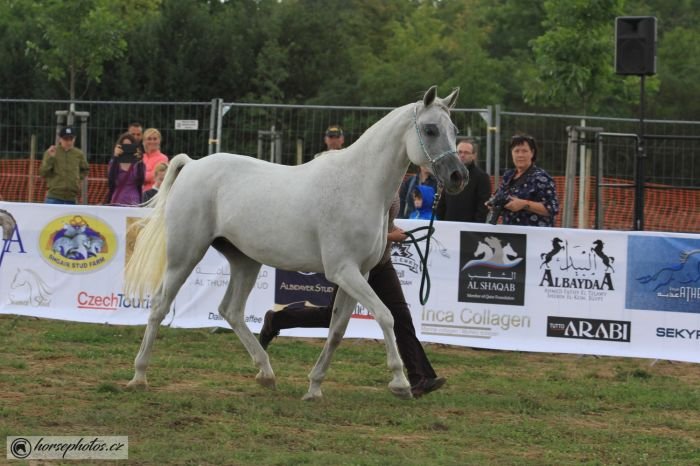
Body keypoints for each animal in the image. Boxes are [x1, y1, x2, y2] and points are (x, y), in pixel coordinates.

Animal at [123, 86, 468, 400]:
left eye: (455, 131)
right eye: (431, 129)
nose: (458, 176)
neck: (359, 185)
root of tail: (192, 165)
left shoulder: (360, 274)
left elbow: (337, 329)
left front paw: (314, 387)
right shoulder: (344, 271)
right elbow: (386, 316)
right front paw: (400, 383)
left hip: (245, 260)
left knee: (231, 310)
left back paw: (266, 373)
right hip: (185, 254)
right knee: (159, 305)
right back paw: (139, 377)